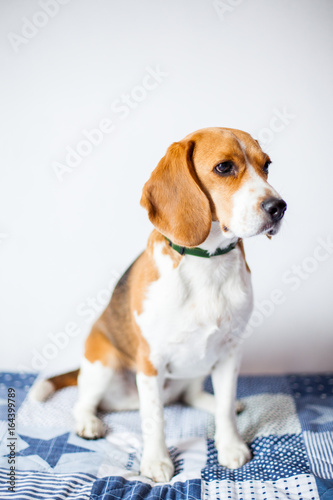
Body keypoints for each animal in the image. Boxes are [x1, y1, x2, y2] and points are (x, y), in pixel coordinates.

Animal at [30, 128, 286, 480]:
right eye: (223, 167)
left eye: (267, 165)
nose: (279, 207)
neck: (207, 262)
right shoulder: (150, 361)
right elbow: (155, 418)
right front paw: (156, 461)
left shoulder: (230, 352)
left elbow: (223, 408)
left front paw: (230, 445)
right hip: (104, 363)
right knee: (84, 402)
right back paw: (88, 423)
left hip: (198, 367)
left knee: (193, 396)